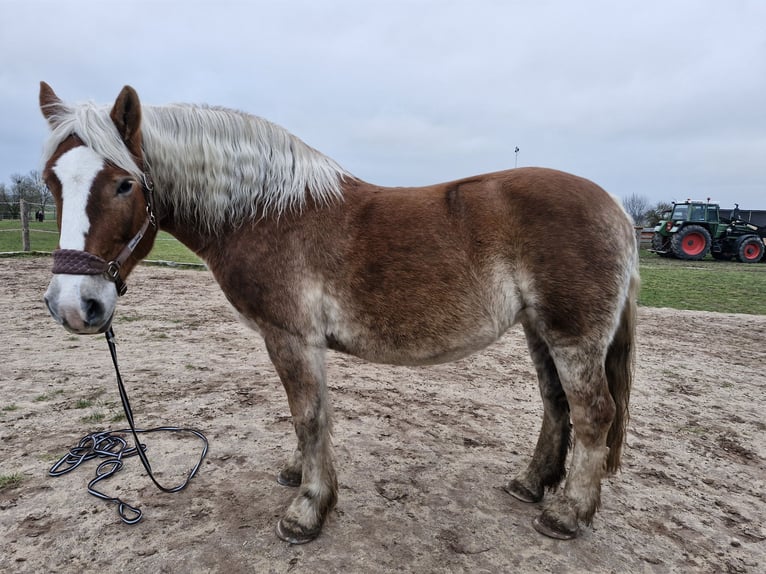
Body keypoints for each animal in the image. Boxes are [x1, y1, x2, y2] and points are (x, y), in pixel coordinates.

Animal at [40, 81, 640, 544]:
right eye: (51, 180)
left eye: (124, 184)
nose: (73, 305)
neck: (266, 213)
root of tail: (617, 209)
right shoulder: (298, 341)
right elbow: (310, 414)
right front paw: (298, 474)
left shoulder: (290, 336)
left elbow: (308, 415)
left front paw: (307, 511)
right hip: (540, 331)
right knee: (556, 407)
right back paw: (531, 485)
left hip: (572, 336)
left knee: (593, 415)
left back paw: (566, 515)